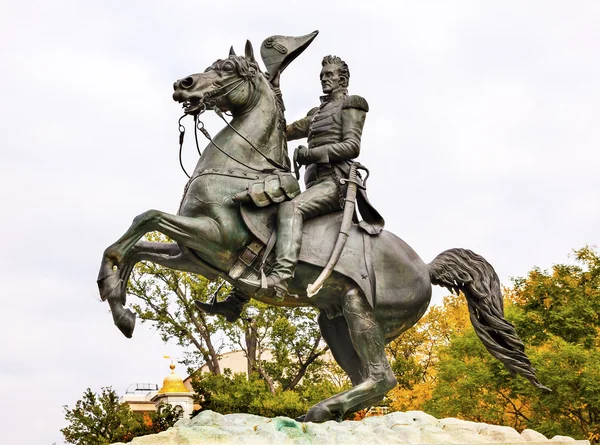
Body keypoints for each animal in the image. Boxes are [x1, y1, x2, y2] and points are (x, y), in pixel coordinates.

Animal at [97, 40, 548, 422]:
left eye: (227, 69)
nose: (182, 84)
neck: (240, 170)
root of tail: (425, 267)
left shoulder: (212, 236)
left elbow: (145, 218)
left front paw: (113, 294)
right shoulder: (196, 256)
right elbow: (137, 247)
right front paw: (120, 307)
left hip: (361, 312)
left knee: (382, 376)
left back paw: (319, 410)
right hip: (334, 322)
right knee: (367, 378)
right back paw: (327, 413)